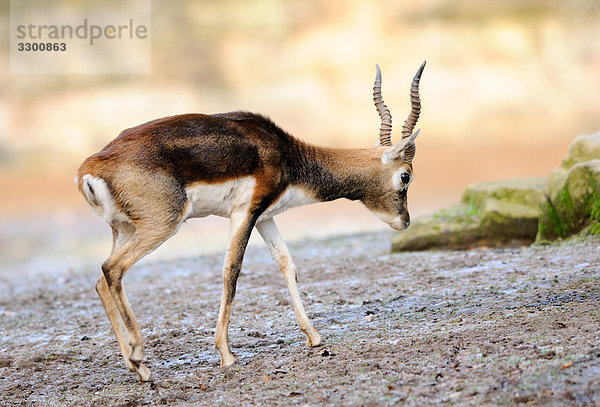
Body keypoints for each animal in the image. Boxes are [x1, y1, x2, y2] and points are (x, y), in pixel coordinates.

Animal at [77, 61, 426, 382]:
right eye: (405, 176)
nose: (404, 221)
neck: (286, 155)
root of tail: (89, 168)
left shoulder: (264, 217)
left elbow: (287, 264)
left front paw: (313, 337)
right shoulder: (244, 213)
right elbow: (232, 271)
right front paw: (226, 355)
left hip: (125, 229)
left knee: (101, 280)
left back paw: (135, 366)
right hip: (162, 225)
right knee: (113, 269)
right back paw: (140, 359)